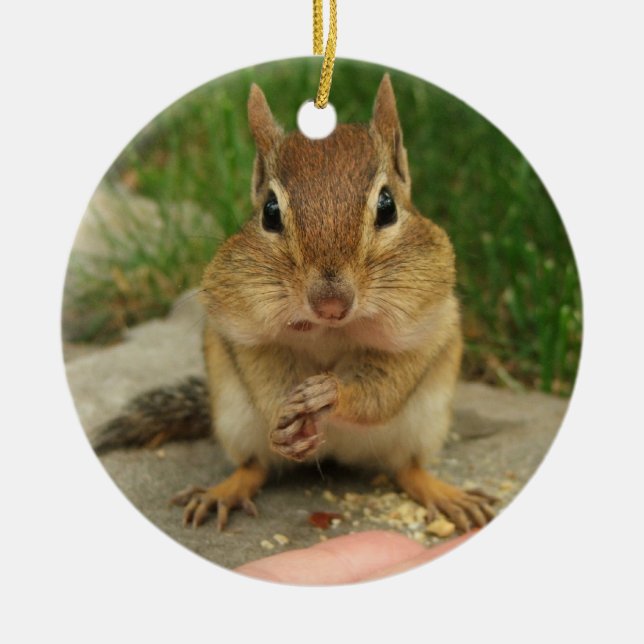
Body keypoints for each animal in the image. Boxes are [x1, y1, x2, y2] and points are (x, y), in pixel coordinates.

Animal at [93, 74, 495, 533]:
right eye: (270, 211)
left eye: (388, 206)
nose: (331, 303)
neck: (328, 329)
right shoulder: (240, 328)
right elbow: (264, 372)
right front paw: (285, 420)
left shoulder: (426, 328)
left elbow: (382, 388)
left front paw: (331, 392)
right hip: (233, 420)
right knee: (255, 465)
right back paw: (224, 491)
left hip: (424, 426)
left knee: (407, 468)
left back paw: (444, 494)